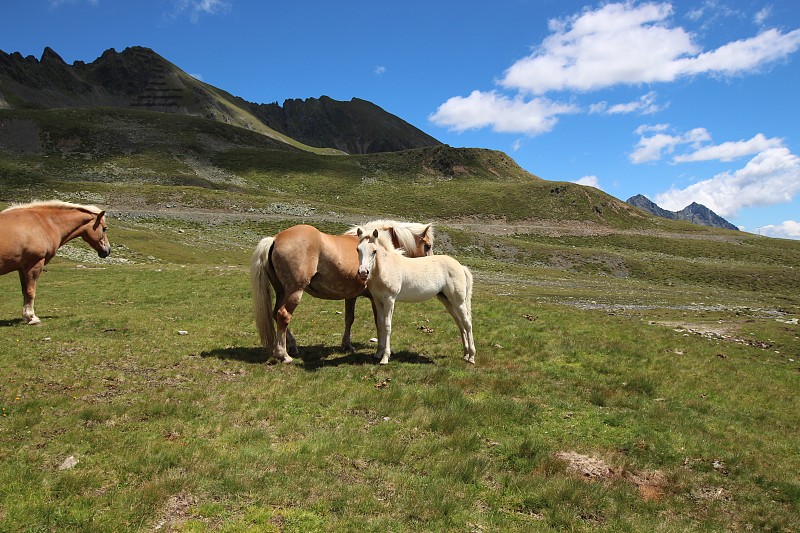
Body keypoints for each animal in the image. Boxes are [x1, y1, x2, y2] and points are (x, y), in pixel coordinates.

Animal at [253, 219, 434, 362]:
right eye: (428, 246)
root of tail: (275, 239)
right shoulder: (376, 299)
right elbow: (380, 323)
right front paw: (380, 351)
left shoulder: (350, 296)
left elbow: (349, 319)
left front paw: (347, 345)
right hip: (294, 291)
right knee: (283, 315)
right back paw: (283, 354)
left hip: (281, 291)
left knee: (276, 313)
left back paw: (292, 346)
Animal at [356, 227, 476, 364]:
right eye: (358, 249)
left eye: (374, 251)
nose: (363, 272)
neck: (386, 268)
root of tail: (460, 266)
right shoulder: (378, 301)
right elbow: (380, 324)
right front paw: (378, 353)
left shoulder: (389, 300)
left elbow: (387, 325)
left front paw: (385, 357)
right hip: (447, 300)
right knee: (460, 323)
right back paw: (465, 354)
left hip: (458, 301)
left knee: (467, 322)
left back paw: (471, 357)